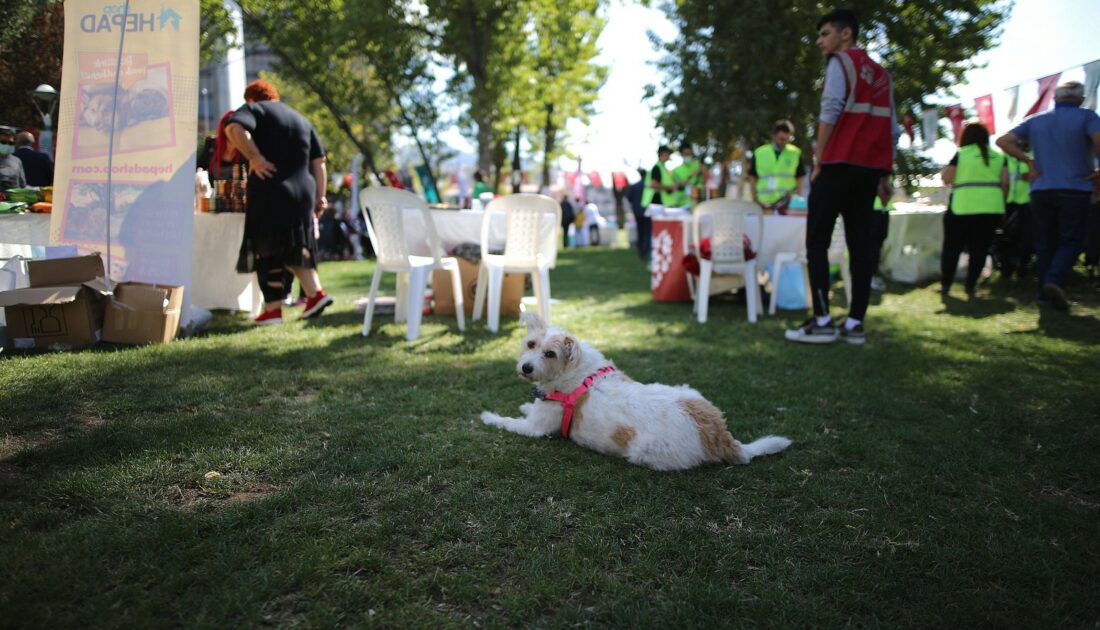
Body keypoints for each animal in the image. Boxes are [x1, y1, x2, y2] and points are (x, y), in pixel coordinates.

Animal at [481, 312, 792, 468]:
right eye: (531, 344)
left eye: (550, 354)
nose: (526, 368)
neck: (574, 372)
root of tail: (719, 435)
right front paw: (525, 404)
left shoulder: (535, 429)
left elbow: (508, 422)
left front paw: (488, 416)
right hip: (689, 391)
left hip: (645, 451)